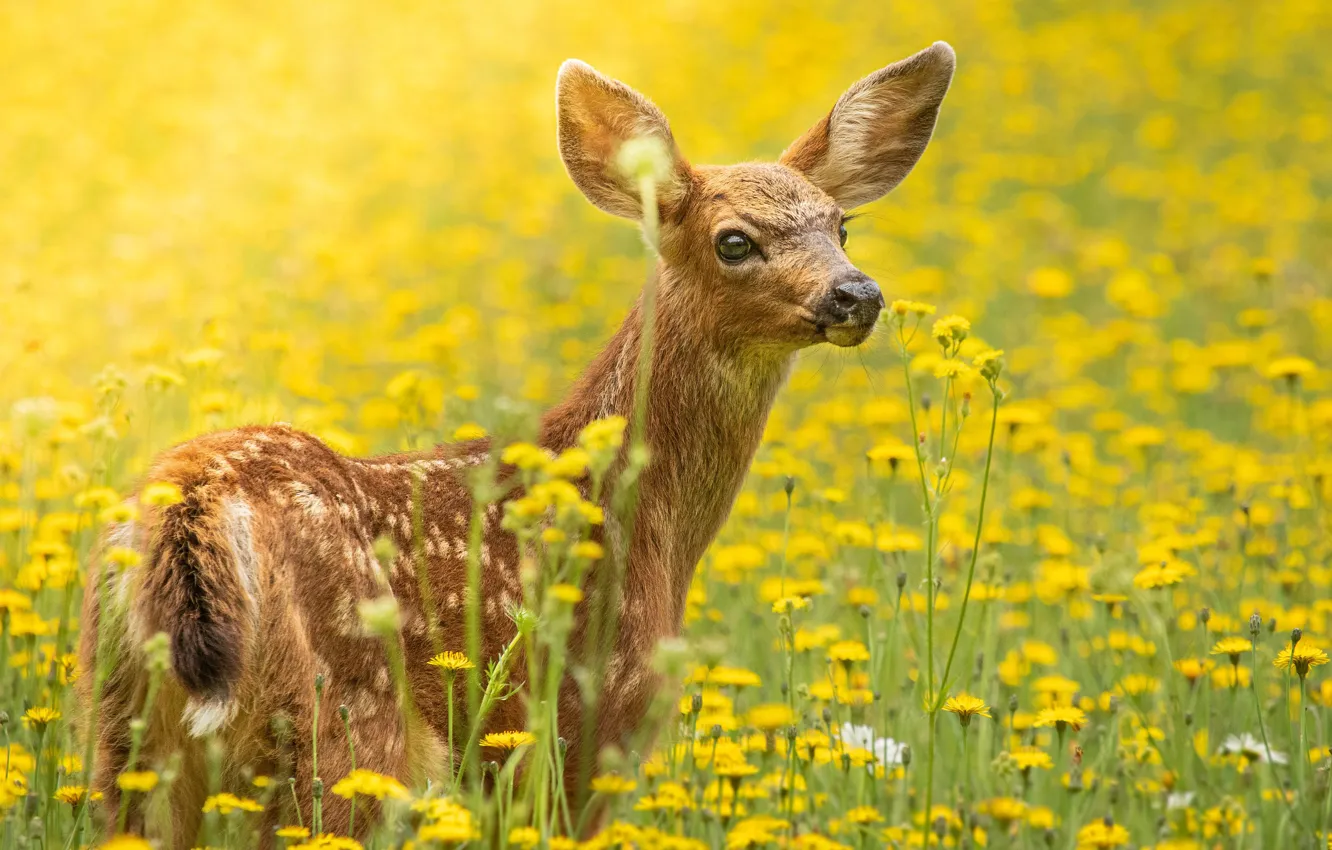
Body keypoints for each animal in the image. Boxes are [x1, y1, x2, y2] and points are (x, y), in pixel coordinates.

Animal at [79, 42, 955, 842]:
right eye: (734, 241)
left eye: (843, 226)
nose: (856, 294)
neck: (644, 519)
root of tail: (191, 505)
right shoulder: (582, 733)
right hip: (346, 727)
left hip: (125, 734)